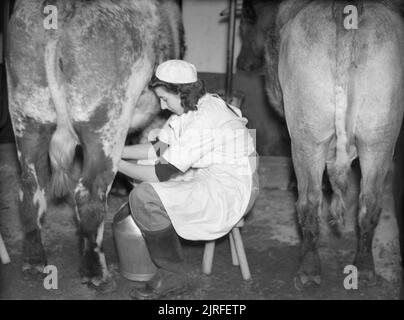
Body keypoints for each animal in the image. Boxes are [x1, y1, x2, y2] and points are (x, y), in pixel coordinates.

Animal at [6, 0, 184, 290]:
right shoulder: (156, 119)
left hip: (27, 115)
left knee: (31, 188)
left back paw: (34, 261)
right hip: (105, 123)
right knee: (89, 193)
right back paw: (95, 272)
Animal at [238, 0, 402, 290]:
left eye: (245, 22)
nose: (242, 63)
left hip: (307, 133)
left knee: (309, 201)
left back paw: (308, 269)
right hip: (380, 134)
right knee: (370, 201)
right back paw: (364, 268)